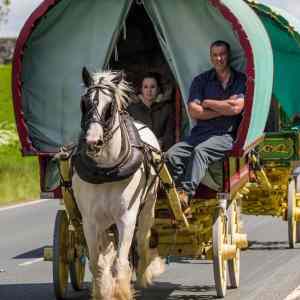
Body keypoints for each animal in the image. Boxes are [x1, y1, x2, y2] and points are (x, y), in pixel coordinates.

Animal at [72, 68, 165, 300]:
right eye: (84, 103)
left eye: (110, 106)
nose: (92, 142)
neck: (106, 170)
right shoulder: (89, 221)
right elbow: (97, 263)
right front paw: (102, 291)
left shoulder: (126, 218)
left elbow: (121, 262)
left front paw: (122, 291)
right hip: (105, 223)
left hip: (147, 208)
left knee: (142, 241)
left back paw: (143, 274)